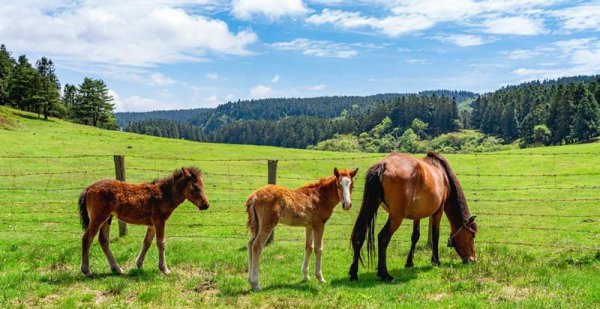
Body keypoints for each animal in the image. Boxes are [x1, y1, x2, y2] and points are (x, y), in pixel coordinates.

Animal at [77, 167, 210, 276]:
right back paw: (87, 270)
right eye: (196, 187)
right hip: (98, 217)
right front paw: (164, 269)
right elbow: (161, 243)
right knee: (87, 238)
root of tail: (88, 189)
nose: (206, 205)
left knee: (103, 241)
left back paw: (117, 269)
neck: (164, 194)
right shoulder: (160, 221)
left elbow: (147, 242)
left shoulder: (152, 224)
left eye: (203, 185)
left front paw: (139, 264)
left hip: (107, 218)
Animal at [350, 152, 476, 282]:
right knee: (383, 237)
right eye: (472, 235)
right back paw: (384, 274)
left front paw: (409, 262)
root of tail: (384, 165)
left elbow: (415, 236)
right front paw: (436, 261)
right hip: (396, 216)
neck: (443, 175)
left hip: (369, 206)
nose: (473, 259)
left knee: (359, 234)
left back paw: (354, 273)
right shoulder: (438, 212)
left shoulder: (417, 215)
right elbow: (435, 236)